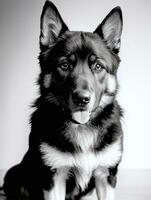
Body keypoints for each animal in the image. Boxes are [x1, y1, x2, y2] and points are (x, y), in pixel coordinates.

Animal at [3, 0, 123, 199]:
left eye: (98, 66)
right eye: (64, 65)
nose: (82, 99)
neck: (82, 128)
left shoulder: (105, 176)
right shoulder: (54, 178)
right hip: (13, 174)